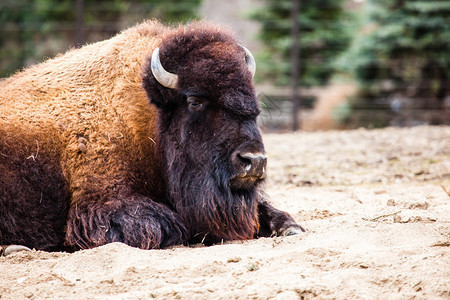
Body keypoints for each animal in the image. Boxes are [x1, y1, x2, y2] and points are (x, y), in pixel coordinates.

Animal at [0, 19, 304, 252]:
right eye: (194, 101)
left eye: (253, 103)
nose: (254, 161)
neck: (147, 119)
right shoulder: (105, 205)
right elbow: (173, 225)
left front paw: (290, 228)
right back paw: (15, 247)